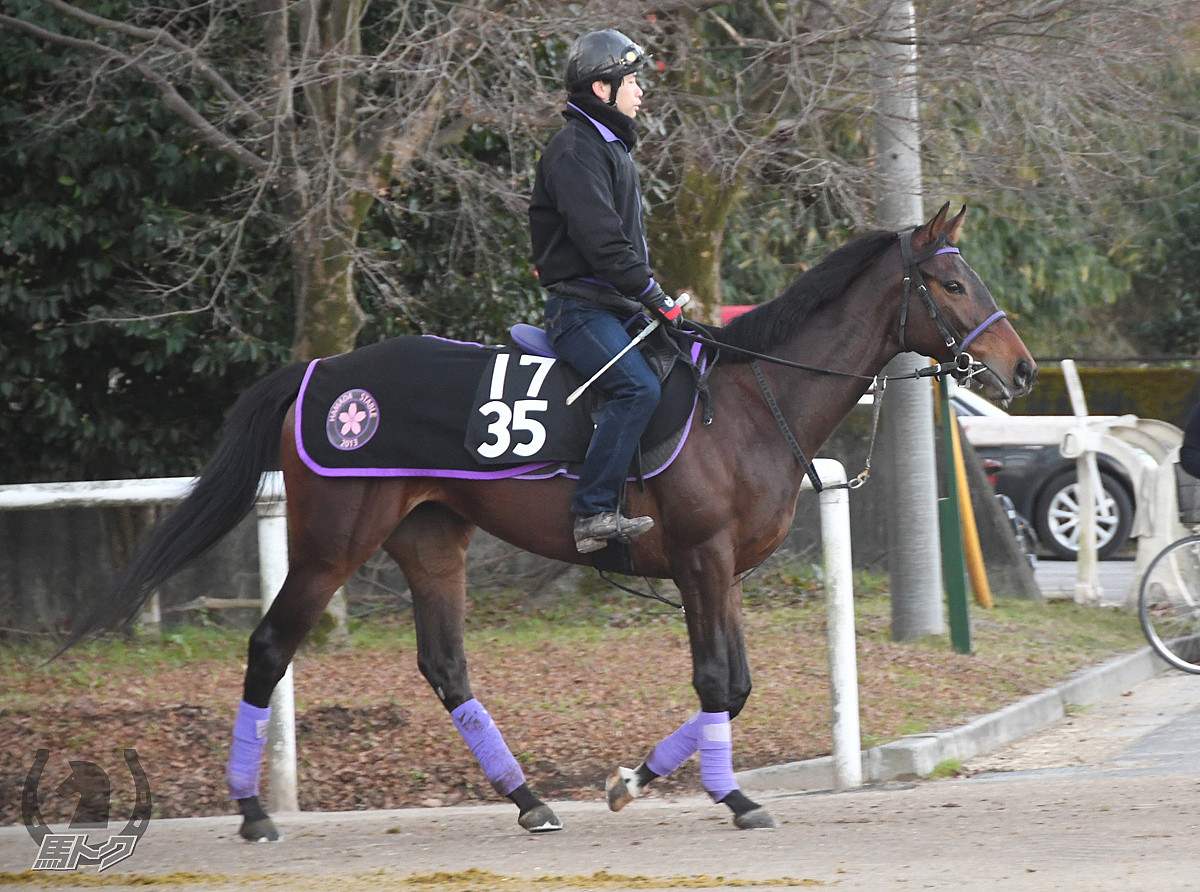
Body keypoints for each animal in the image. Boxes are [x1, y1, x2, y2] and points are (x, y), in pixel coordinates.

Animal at [70, 204, 1036, 845]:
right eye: (952, 281)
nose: (1022, 369)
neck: (748, 400)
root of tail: (324, 371)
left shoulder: (719, 571)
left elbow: (734, 686)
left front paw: (637, 780)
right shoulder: (703, 560)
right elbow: (716, 681)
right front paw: (729, 796)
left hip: (431, 543)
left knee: (445, 666)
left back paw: (529, 798)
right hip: (329, 546)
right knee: (271, 646)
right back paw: (252, 810)